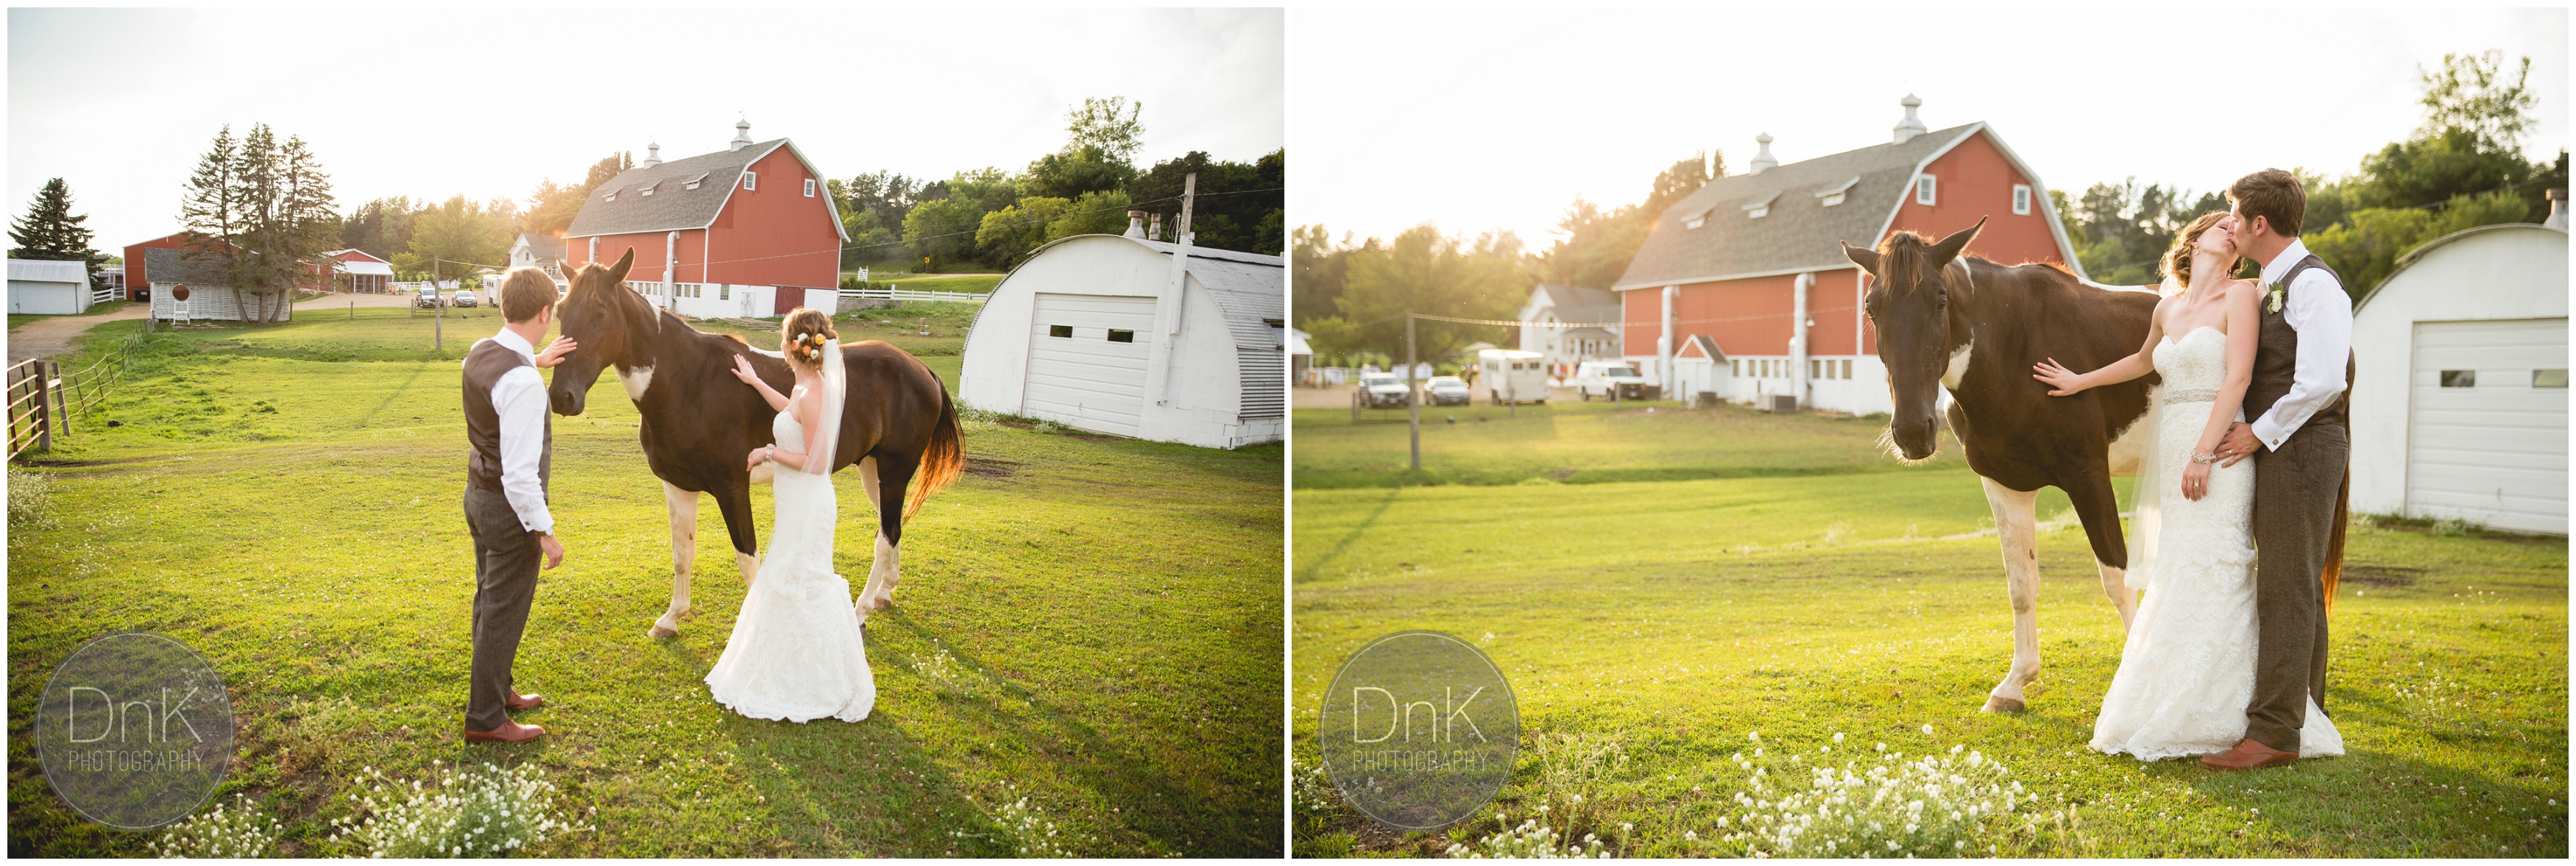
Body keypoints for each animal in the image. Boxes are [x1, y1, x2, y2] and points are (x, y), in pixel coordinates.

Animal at [545, 249, 964, 638]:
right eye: (561, 310)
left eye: (600, 312)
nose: (562, 397)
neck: (688, 383)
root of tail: (920, 368)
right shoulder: (678, 487)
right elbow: (683, 554)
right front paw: (671, 619)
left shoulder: (733, 488)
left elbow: (748, 560)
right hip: (873, 470)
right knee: (891, 531)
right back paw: (884, 594)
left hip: (894, 472)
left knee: (886, 537)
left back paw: (861, 611)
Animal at [1841, 218, 2159, 713]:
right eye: (1872, 309)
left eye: (1940, 300)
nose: (1912, 431)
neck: (2018, 352)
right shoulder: (2005, 486)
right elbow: (2021, 585)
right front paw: (2014, 685)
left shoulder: (2089, 476)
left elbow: (2117, 578)